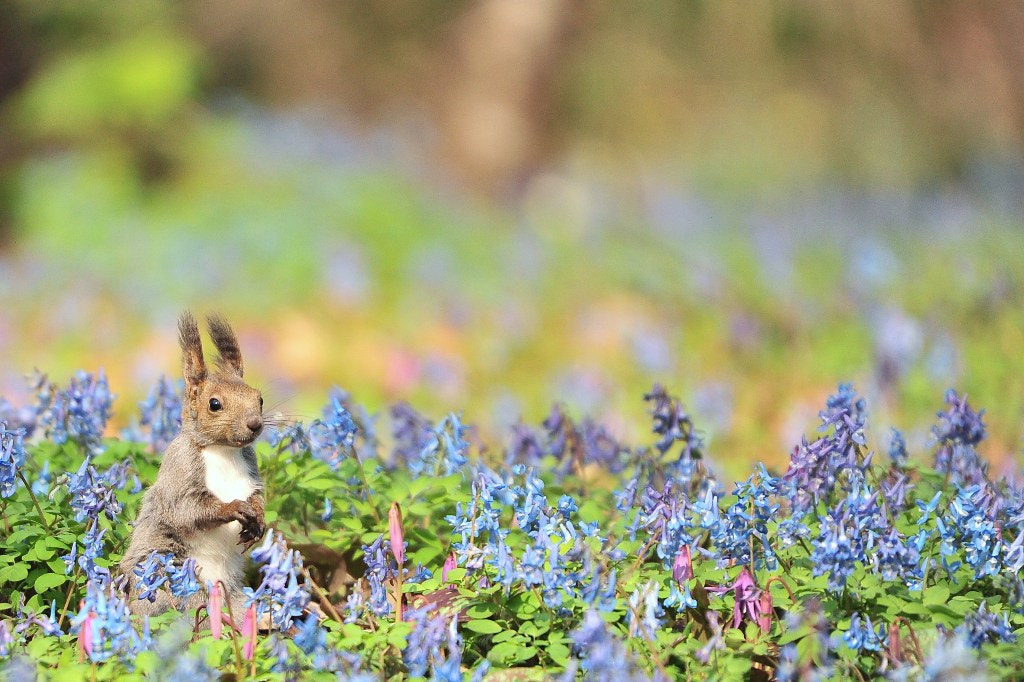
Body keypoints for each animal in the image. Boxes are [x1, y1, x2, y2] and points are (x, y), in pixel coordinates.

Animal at [119, 311, 268, 614]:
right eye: (214, 404)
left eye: (259, 399)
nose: (255, 424)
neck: (223, 451)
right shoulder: (181, 470)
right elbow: (188, 509)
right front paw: (234, 508)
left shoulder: (251, 469)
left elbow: (258, 496)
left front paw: (258, 519)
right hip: (167, 571)